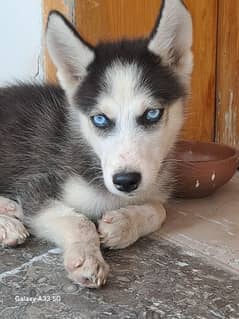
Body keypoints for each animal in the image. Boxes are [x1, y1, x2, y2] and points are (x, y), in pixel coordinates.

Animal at [0, 0, 192, 288]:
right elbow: (79, 222)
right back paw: (7, 223)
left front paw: (122, 224)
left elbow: (159, 210)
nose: (125, 181)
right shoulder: (37, 185)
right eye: (100, 119)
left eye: (152, 114)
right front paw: (87, 259)